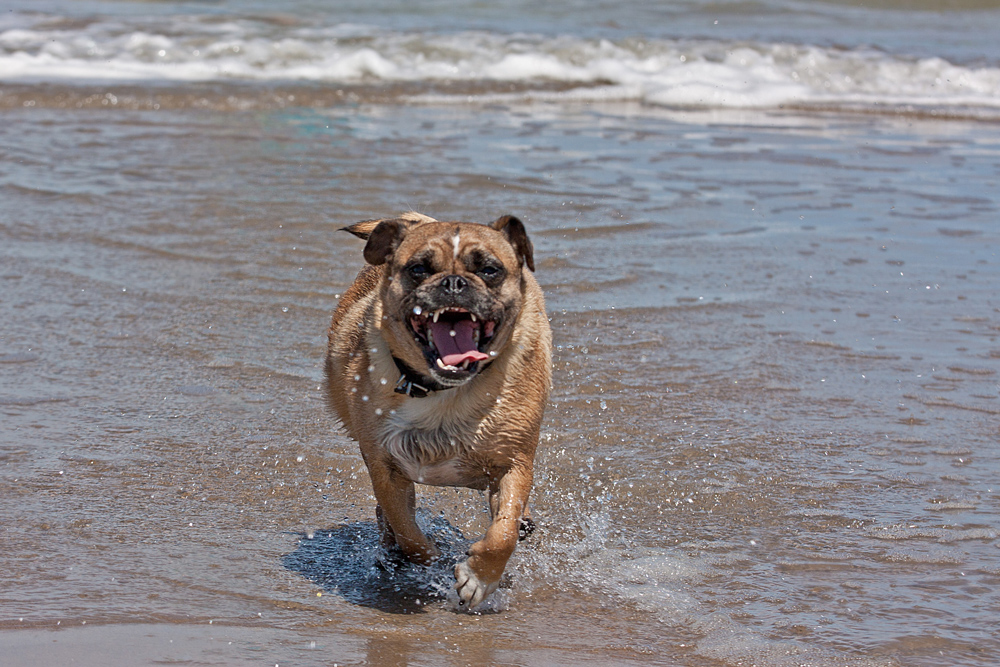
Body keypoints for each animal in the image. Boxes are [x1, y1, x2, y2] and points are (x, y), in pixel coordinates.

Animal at [326, 211, 552, 608]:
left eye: (490, 269)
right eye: (418, 269)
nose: (454, 282)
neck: (446, 391)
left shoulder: (515, 462)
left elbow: (503, 532)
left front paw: (480, 578)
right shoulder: (385, 466)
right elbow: (408, 531)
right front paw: (431, 560)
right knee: (388, 519)